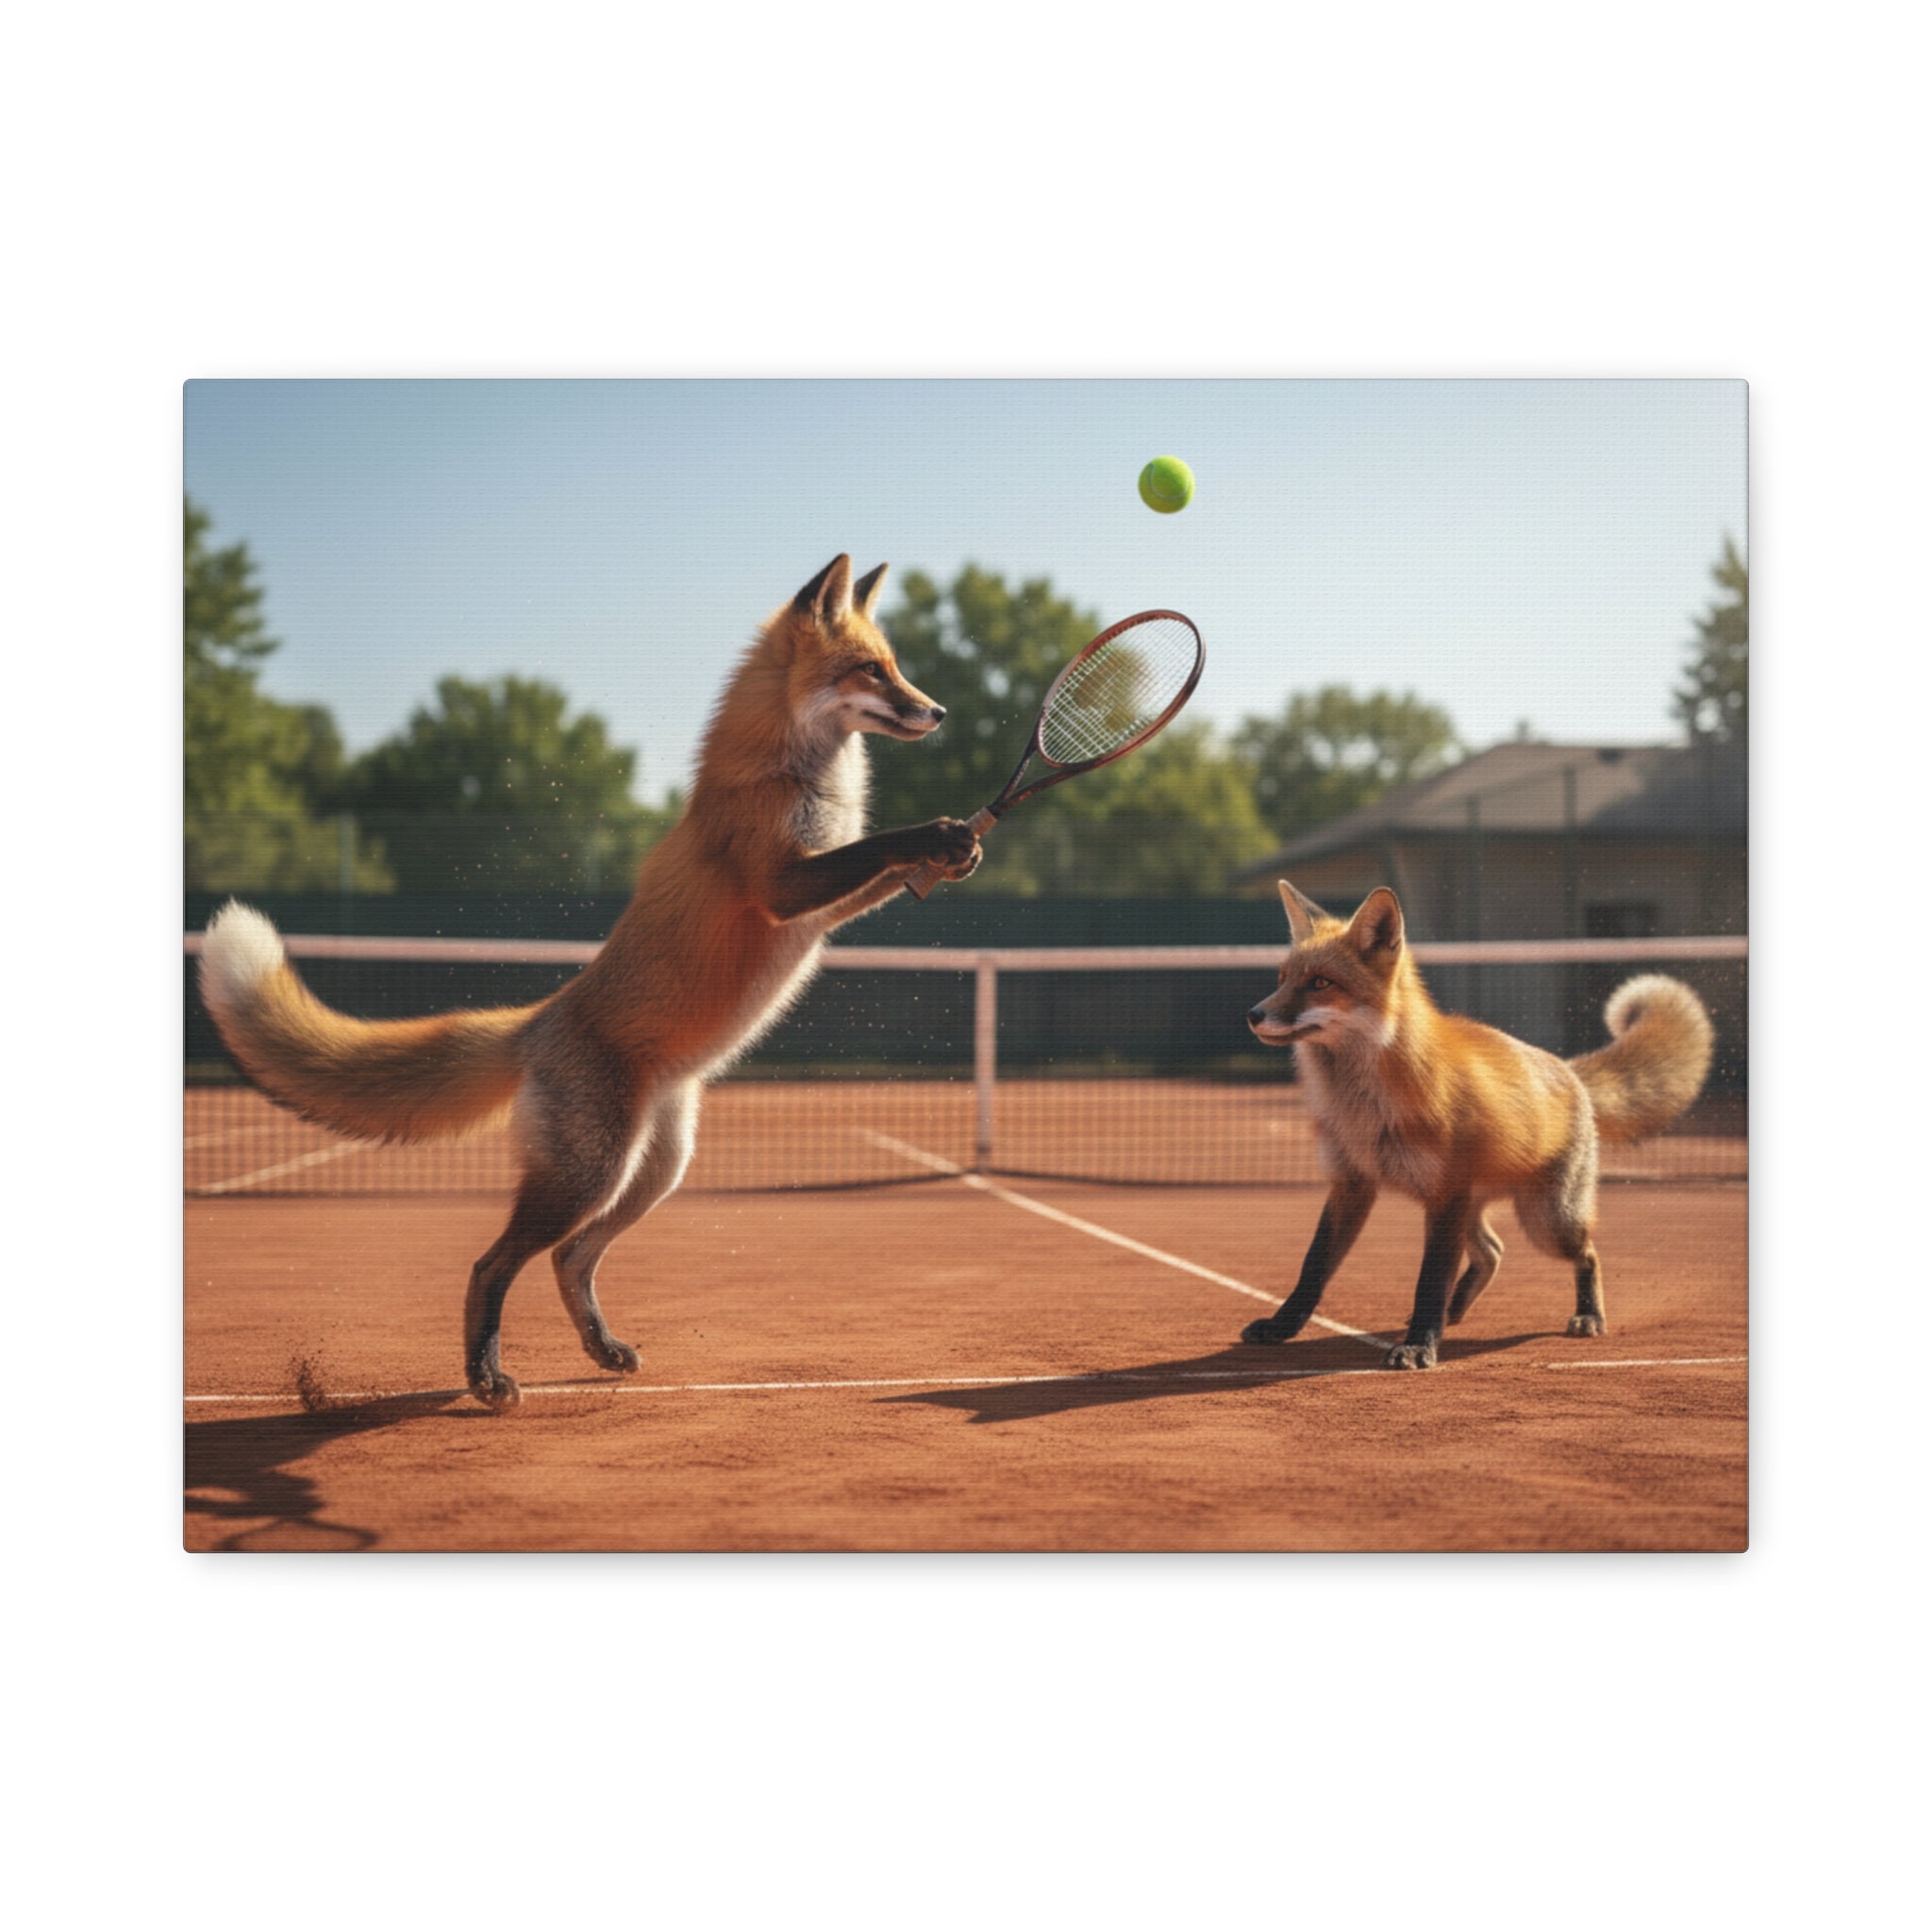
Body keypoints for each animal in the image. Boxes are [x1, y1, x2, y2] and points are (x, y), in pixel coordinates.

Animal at [198, 553, 983, 1409]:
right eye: (873, 670)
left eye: (896, 666)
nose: (939, 711)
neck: (794, 773)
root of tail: (539, 1020)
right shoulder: (781, 885)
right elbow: (882, 844)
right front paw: (944, 830)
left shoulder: (822, 904)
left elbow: (885, 868)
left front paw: (960, 850)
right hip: (592, 1173)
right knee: (495, 1263)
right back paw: (485, 1378)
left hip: (655, 1170)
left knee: (568, 1257)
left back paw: (600, 1348)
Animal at [1240, 879, 1714, 1369]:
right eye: (1282, 979)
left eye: (1320, 983)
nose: (1253, 1015)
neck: (1364, 1106)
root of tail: (1568, 1070)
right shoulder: (1352, 1185)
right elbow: (1312, 1269)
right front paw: (1281, 1327)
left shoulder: (1445, 1194)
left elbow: (1429, 1280)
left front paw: (1418, 1346)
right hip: (1471, 1209)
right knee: (1492, 1252)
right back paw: (1455, 1312)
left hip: (1546, 1220)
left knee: (1587, 1254)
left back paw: (1587, 1316)